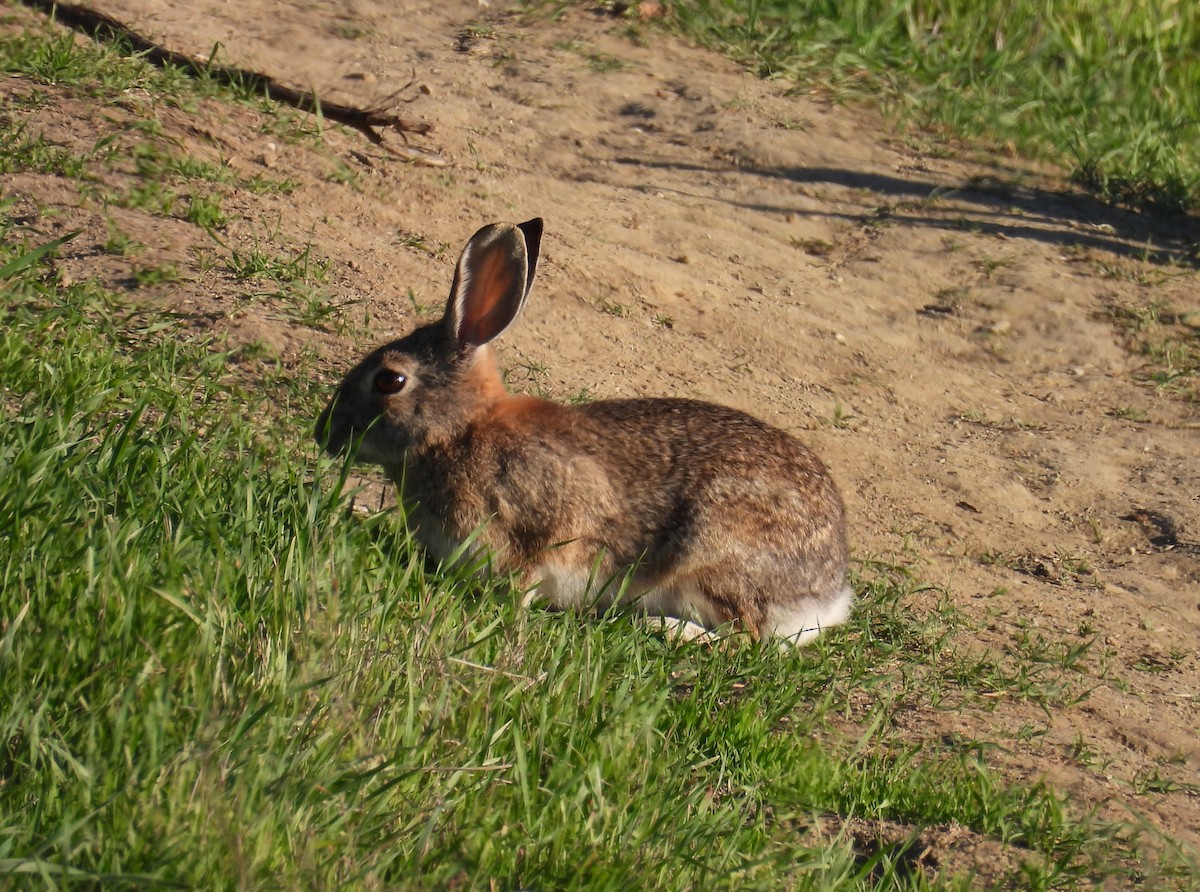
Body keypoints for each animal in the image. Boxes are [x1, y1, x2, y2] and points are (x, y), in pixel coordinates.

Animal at [315, 218, 852, 644]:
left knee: (746, 638)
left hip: (712, 557)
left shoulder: (543, 516)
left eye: (389, 380)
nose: (325, 432)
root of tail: (828, 594)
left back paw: (666, 630)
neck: (460, 431)